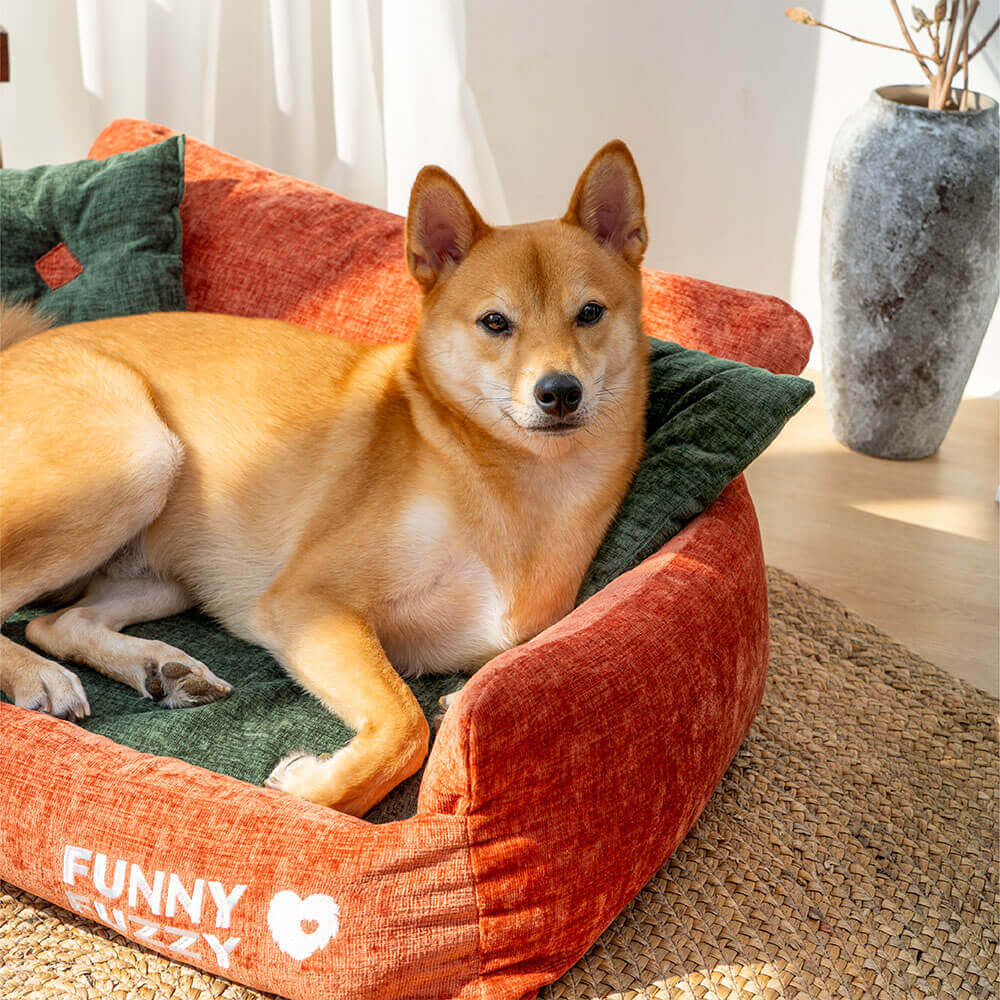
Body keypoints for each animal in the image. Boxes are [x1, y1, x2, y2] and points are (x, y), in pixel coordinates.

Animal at [0, 139, 648, 812]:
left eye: (590, 313)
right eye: (496, 322)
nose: (560, 392)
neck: (516, 486)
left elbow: (450, 700)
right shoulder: (306, 602)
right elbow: (404, 725)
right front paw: (313, 785)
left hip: (175, 571)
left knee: (54, 622)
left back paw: (158, 668)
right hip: (142, 456)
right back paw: (40, 676)